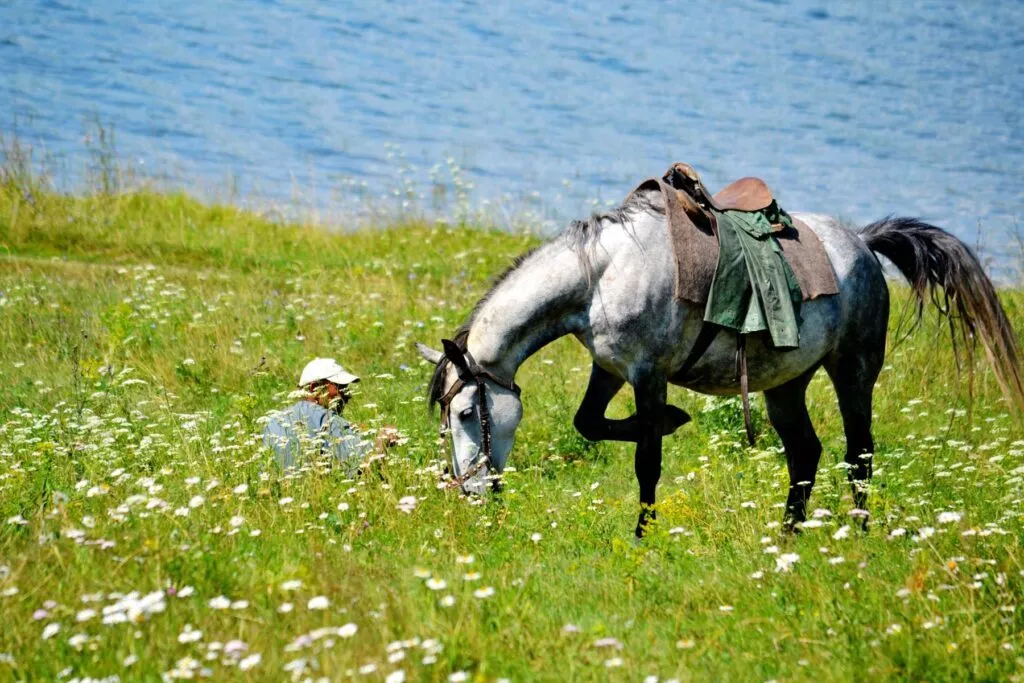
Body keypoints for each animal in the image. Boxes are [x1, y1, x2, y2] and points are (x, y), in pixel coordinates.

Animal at [417, 184, 1024, 537]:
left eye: (467, 414)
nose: (470, 492)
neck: (602, 273)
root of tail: (862, 242)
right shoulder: (610, 369)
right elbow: (588, 422)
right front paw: (672, 421)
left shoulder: (648, 374)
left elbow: (647, 462)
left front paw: (644, 537)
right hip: (786, 384)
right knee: (806, 453)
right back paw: (788, 537)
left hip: (853, 370)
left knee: (860, 455)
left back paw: (859, 533)